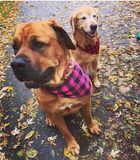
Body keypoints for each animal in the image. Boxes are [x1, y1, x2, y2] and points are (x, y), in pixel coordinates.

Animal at [10, 19, 100, 155]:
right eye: (15, 47)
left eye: (38, 44)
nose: (15, 64)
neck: (61, 84)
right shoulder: (57, 117)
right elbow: (66, 132)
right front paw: (72, 145)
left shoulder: (86, 102)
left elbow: (88, 117)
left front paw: (92, 126)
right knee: (46, 112)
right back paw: (49, 119)